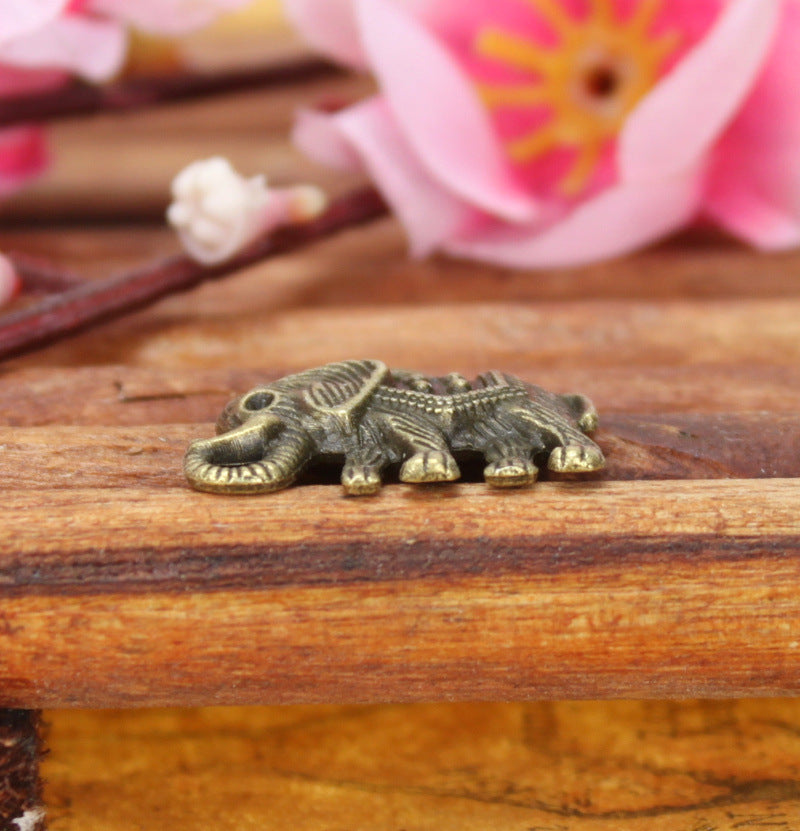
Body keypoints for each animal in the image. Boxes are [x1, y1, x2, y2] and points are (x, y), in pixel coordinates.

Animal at [184, 359, 604, 496]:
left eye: (260, 402)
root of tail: (558, 395)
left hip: (530, 407)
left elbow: (422, 434)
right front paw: (359, 481)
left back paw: (576, 458)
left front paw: (426, 472)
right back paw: (508, 472)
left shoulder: (389, 414)